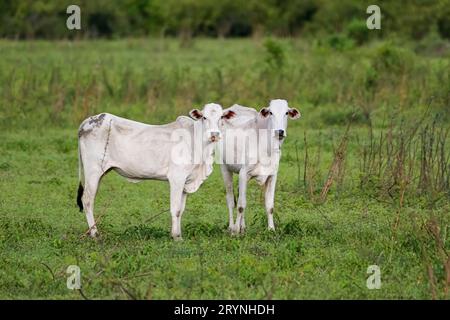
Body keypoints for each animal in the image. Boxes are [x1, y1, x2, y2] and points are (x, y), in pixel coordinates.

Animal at [76, 104, 236, 239]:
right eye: (204, 117)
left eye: (221, 117)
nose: (214, 134)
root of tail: (87, 122)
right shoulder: (176, 178)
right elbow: (175, 209)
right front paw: (176, 236)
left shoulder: (186, 181)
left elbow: (181, 210)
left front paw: (178, 233)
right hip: (93, 170)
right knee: (87, 199)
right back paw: (95, 234)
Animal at [220, 99, 300, 234]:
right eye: (271, 112)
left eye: (286, 113)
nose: (280, 132)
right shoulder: (243, 173)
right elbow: (240, 205)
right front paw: (235, 230)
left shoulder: (272, 175)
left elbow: (270, 205)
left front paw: (271, 229)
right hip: (225, 169)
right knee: (231, 200)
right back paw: (232, 227)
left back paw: (243, 227)